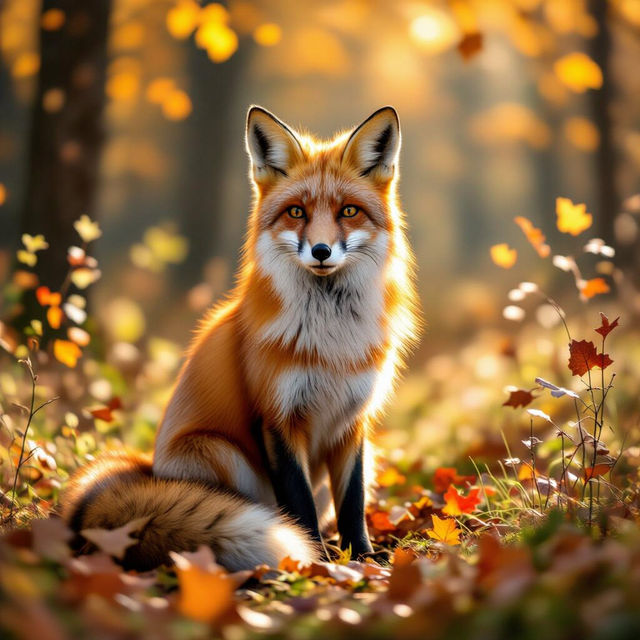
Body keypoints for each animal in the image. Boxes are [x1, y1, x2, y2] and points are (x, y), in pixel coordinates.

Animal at [62, 106, 419, 572]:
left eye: (349, 211)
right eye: (297, 213)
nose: (321, 251)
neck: (332, 342)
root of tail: (149, 469)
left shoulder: (353, 422)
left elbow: (353, 503)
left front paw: (362, 557)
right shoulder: (277, 418)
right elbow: (298, 505)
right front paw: (315, 561)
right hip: (219, 452)